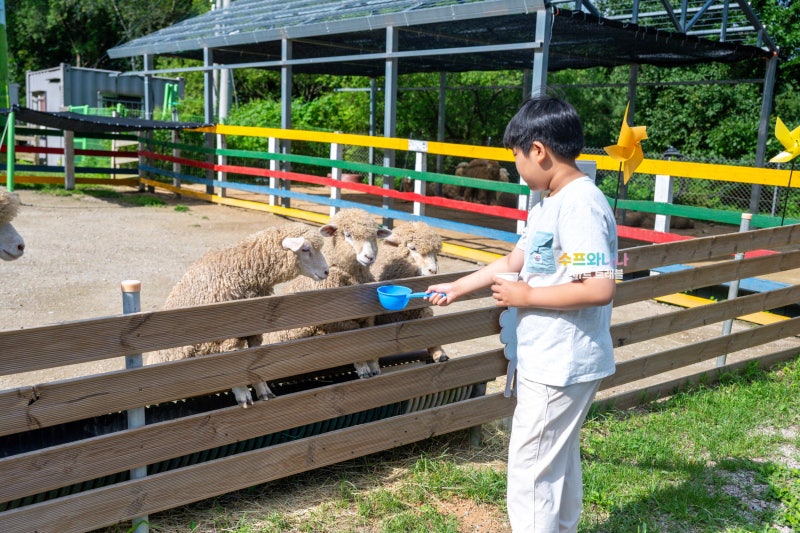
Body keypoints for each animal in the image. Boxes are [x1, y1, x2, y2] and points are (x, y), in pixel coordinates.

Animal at [145, 222, 334, 408]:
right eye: (306, 249)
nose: (326, 272)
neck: (241, 270)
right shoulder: (223, 333)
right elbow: (233, 362)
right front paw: (243, 394)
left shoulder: (254, 328)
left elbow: (253, 361)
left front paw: (263, 390)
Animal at [265, 208, 393, 378]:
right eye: (348, 234)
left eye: (375, 236)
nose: (369, 257)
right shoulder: (337, 320)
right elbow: (353, 342)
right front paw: (363, 368)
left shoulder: (368, 316)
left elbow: (370, 339)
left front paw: (373, 365)